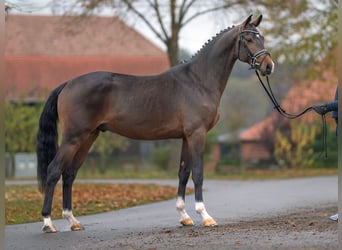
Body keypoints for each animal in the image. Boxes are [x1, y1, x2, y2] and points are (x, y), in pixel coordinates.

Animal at [36, 13, 274, 232]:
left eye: (261, 38)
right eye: (249, 39)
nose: (269, 66)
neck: (198, 81)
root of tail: (68, 84)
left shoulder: (186, 137)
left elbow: (183, 173)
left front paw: (184, 216)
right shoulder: (197, 134)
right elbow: (198, 173)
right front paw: (205, 216)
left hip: (88, 136)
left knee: (69, 173)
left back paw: (72, 221)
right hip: (73, 137)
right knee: (54, 170)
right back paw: (48, 222)